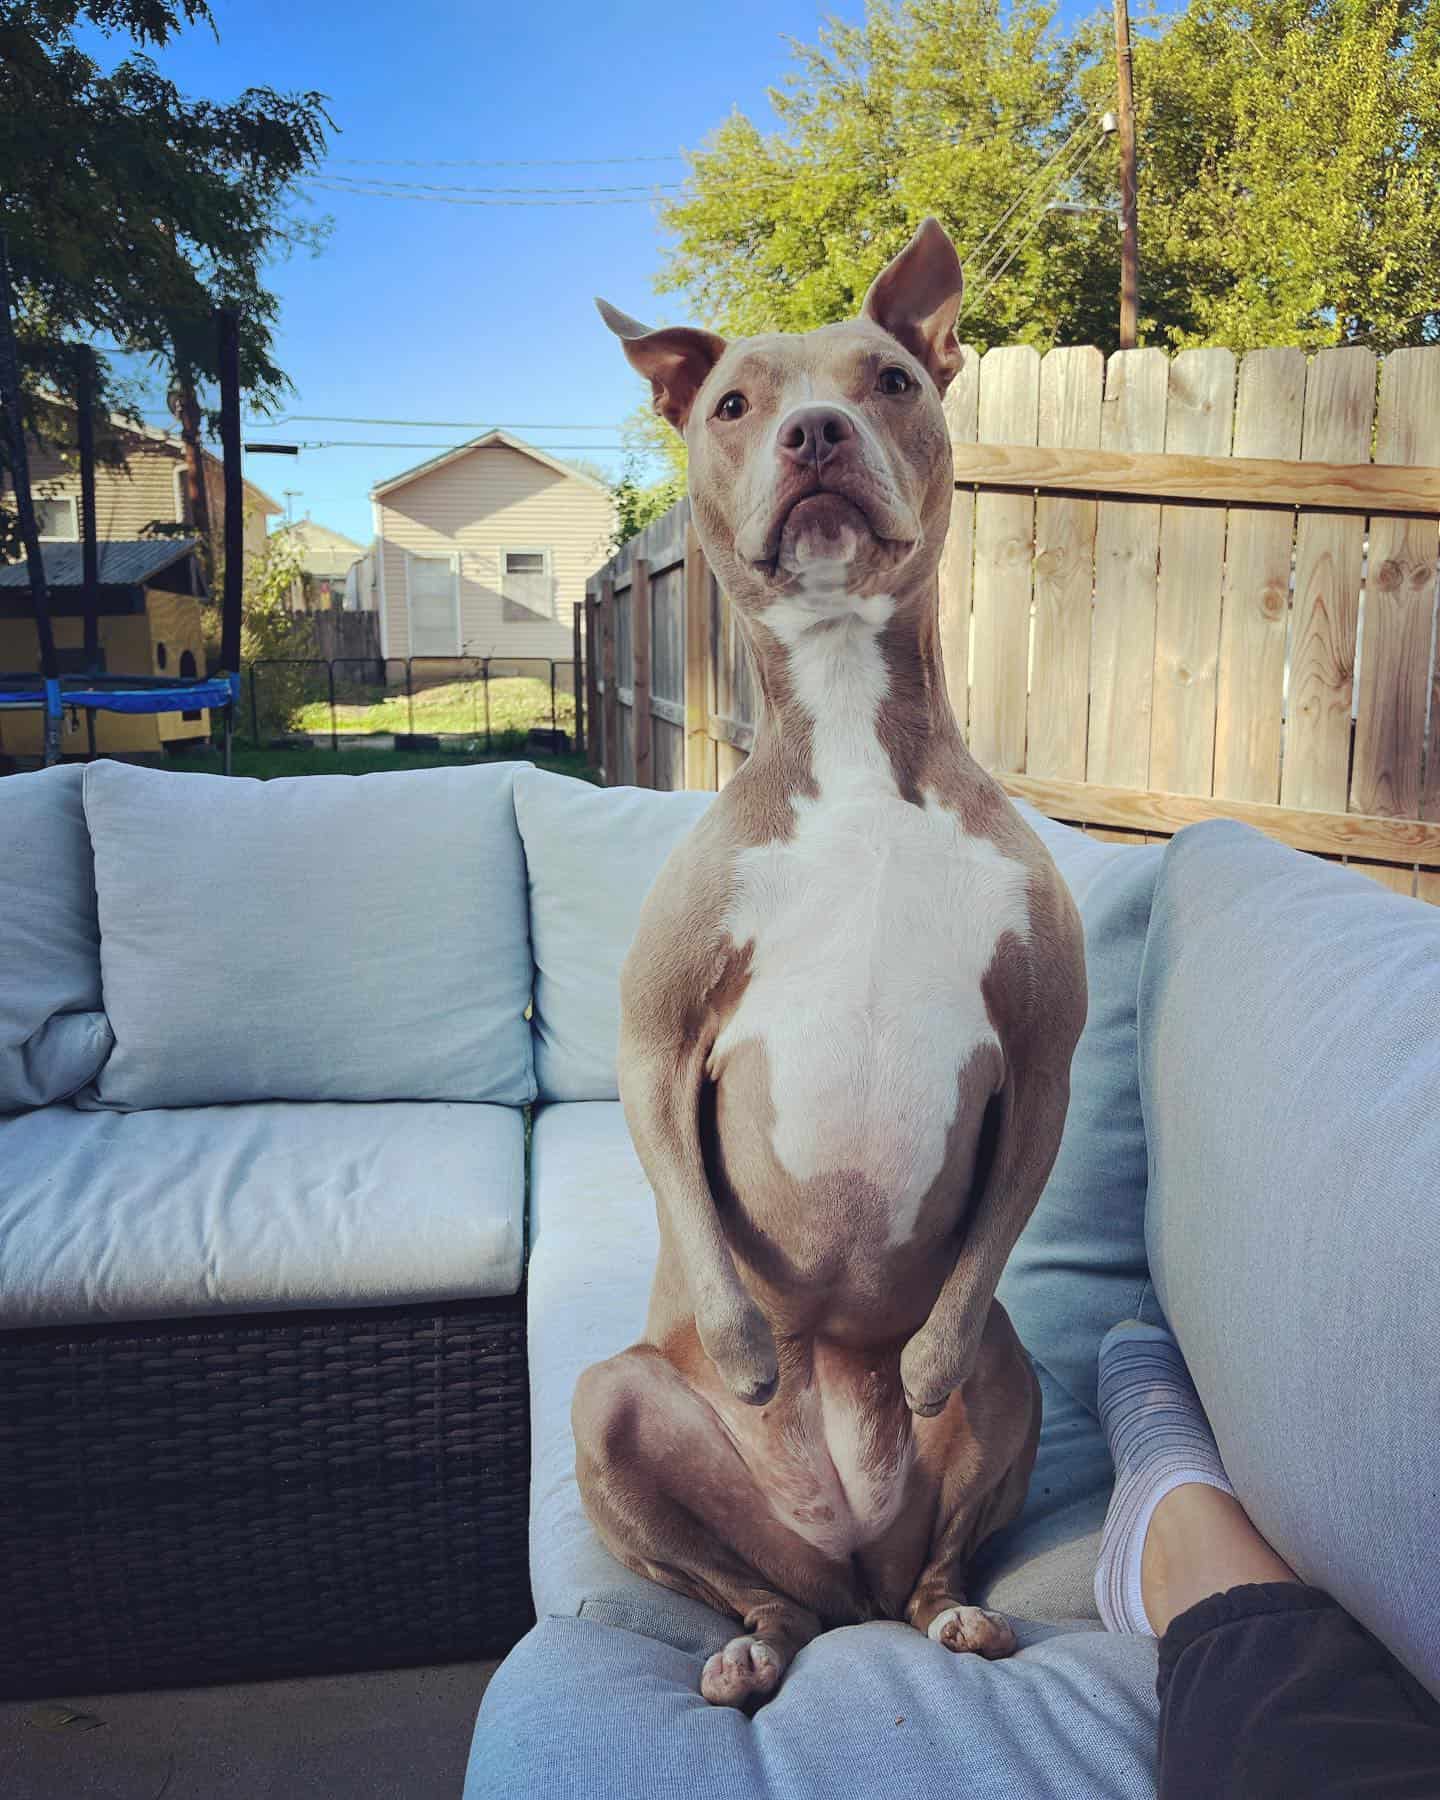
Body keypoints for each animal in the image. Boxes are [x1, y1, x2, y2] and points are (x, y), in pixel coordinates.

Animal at [572, 225, 1080, 1713]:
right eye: (736, 403)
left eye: (893, 379)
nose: (815, 430)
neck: (854, 737)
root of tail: (843, 1550)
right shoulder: (653, 1044)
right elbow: (684, 1184)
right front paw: (747, 1350)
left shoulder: (1044, 1060)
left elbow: (976, 1262)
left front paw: (917, 1368)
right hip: (611, 1410)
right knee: (754, 1594)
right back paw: (750, 1646)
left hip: (1018, 1380)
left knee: (932, 1559)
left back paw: (952, 1609)